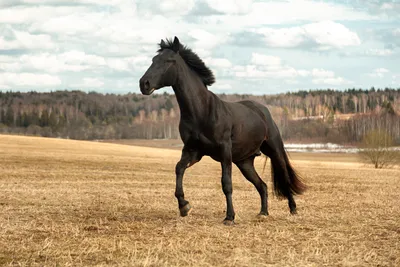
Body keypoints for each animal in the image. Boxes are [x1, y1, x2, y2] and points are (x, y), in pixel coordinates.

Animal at [139, 37, 304, 226]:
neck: (202, 111)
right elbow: (179, 168)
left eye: (168, 61)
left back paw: (293, 209)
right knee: (262, 185)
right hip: (244, 162)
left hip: (274, 151)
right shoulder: (193, 151)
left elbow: (226, 183)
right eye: (153, 60)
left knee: (284, 178)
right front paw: (184, 206)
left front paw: (229, 217)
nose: (144, 84)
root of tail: (263, 111)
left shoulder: (224, 151)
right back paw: (263, 212)